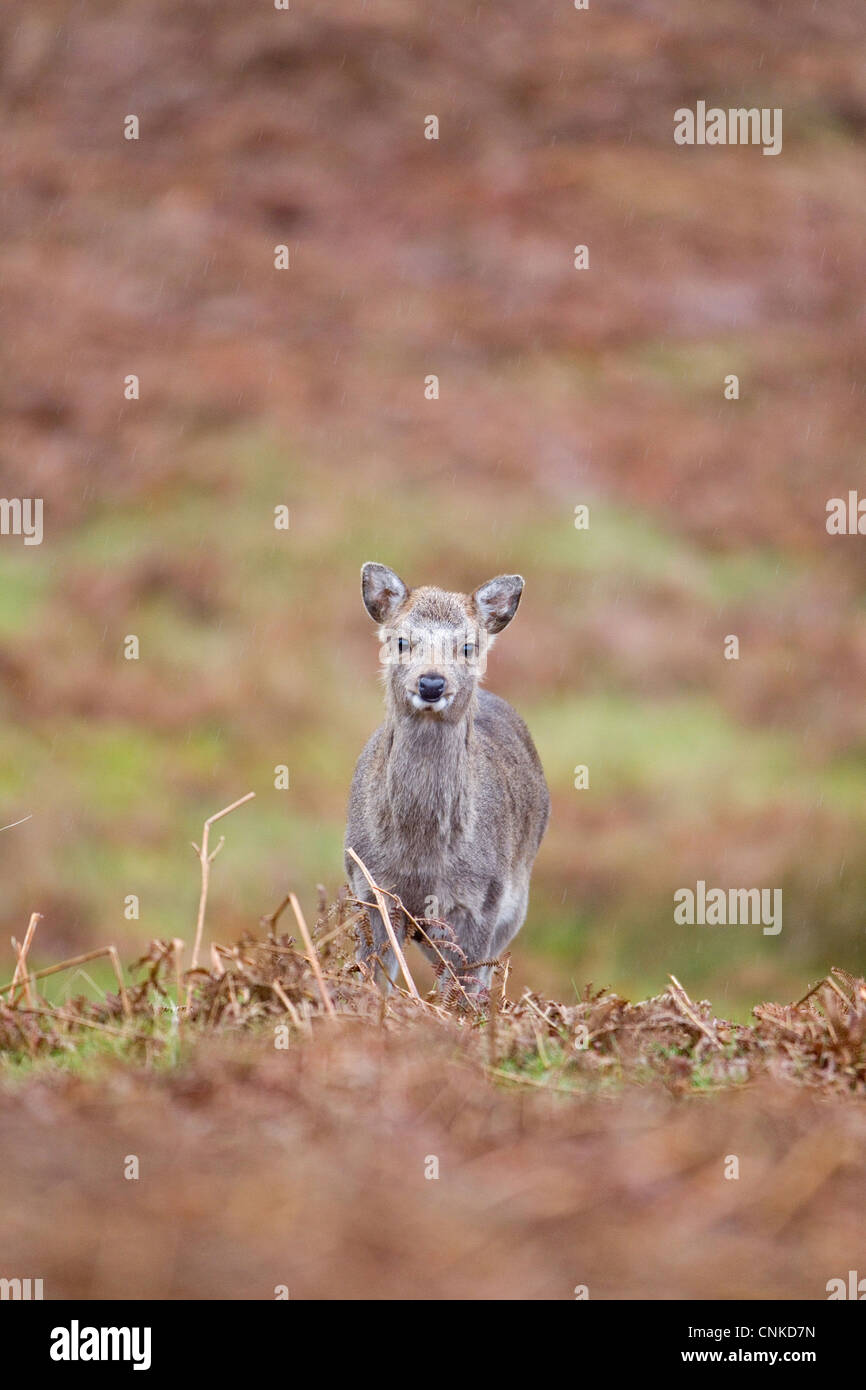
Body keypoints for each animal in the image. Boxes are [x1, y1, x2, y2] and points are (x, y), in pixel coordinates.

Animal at [343, 564, 547, 1000]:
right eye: (401, 640)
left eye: (468, 646)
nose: (432, 683)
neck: (421, 858)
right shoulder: (369, 886)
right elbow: (374, 976)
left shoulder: (481, 901)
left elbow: (463, 989)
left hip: (514, 906)